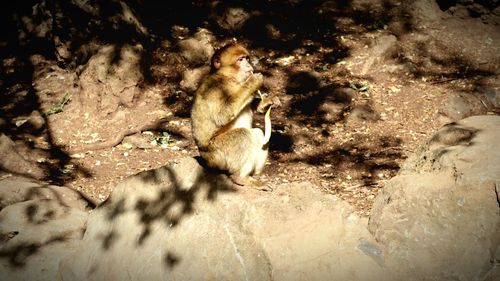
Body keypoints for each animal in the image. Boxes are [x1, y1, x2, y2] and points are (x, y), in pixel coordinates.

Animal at [190, 42, 274, 190]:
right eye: (240, 60)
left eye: (246, 58)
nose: (249, 66)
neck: (229, 78)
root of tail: (204, 159)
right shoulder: (215, 89)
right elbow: (222, 115)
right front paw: (254, 81)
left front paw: (264, 104)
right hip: (216, 156)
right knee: (242, 135)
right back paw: (241, 178)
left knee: (258, 133)